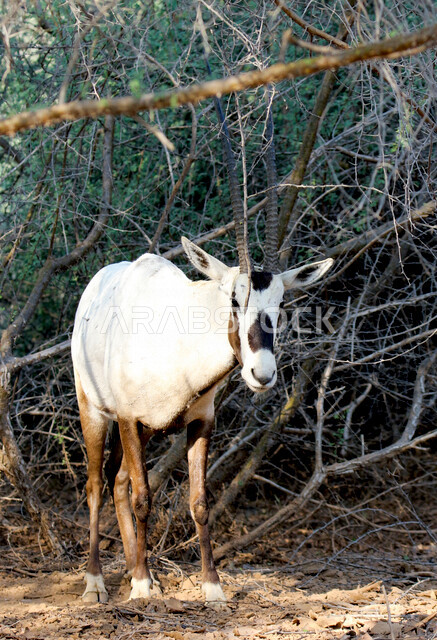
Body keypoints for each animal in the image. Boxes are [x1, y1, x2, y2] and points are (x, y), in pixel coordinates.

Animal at [71, 98, 333, 606]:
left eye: (281, 304)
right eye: (234, 298)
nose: (262, 374)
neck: (179, 346)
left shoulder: (199, 422)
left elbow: (199, 502)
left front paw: (211, 587)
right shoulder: (128, 418)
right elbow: (144, 497)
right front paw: (141, 587)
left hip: (148, 431)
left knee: (117, 482)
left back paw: (135, 570)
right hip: (95, 410)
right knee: (95, 485)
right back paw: (98, 582)